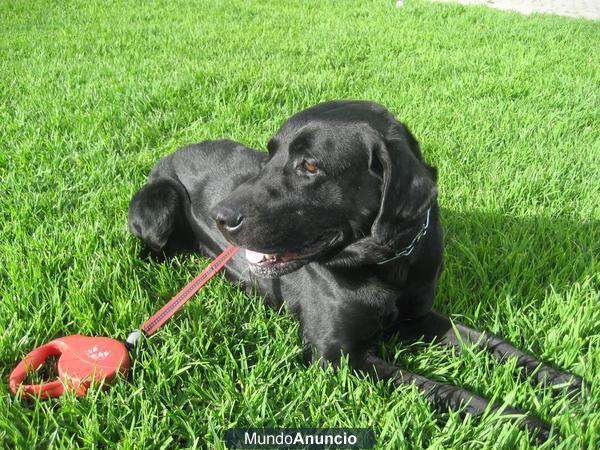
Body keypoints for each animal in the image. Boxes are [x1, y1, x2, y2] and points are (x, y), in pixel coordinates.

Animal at [129, 100, 584, 442]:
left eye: (310, 166)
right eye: (270, 156)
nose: (221, 218)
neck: (387, 264)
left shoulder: (420, 317)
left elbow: (496, 345)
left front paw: (564, 382)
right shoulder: (337, 356)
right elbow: (440, 389)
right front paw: (519, 420)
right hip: (158, 207)